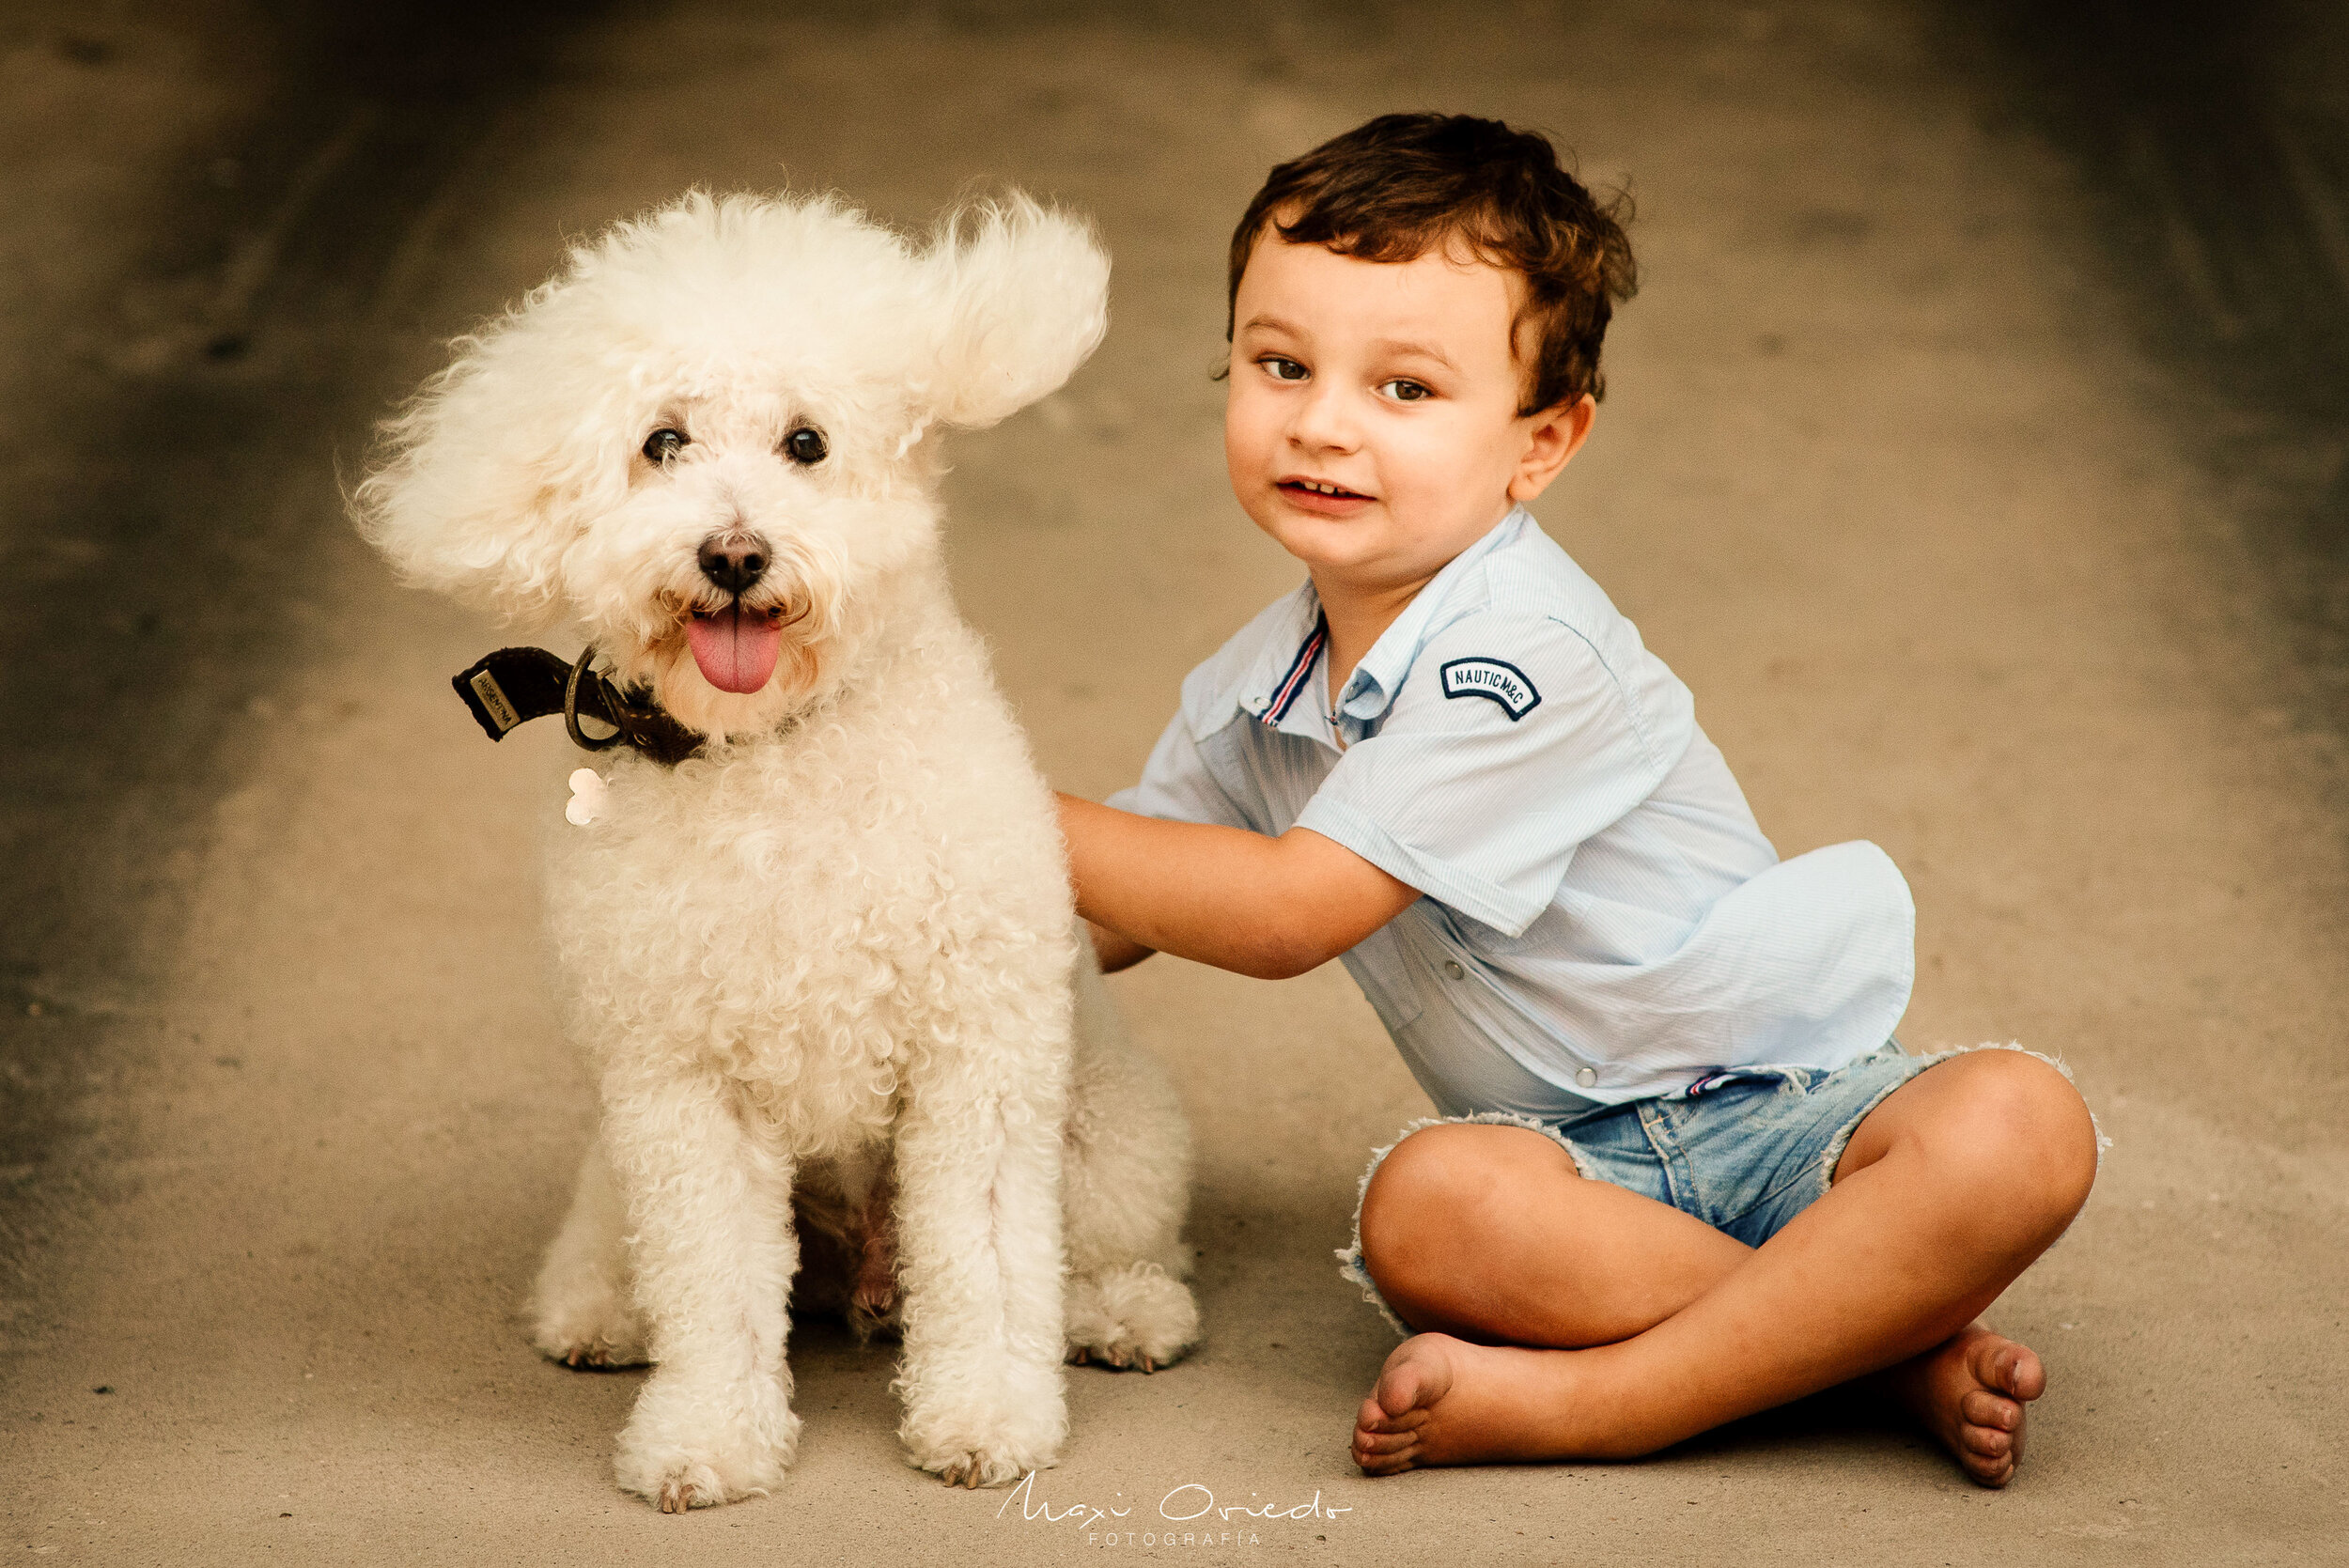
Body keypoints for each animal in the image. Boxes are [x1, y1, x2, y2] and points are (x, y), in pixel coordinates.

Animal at [357, 190, 1203, 1512]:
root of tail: (863, 1271)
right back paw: (599, 1312)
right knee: (629, 1257)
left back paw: (1120, 1313)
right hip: (616, 1160)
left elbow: (986, 1259)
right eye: (661, 442)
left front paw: (986, 1420)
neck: (773, 762)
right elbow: (710, 1283)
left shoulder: (974, 1056)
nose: (735, 554)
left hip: (1108, 1135)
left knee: (1094, 1253)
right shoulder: (678, 1089)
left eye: (808, 443)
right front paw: (705, 1438)